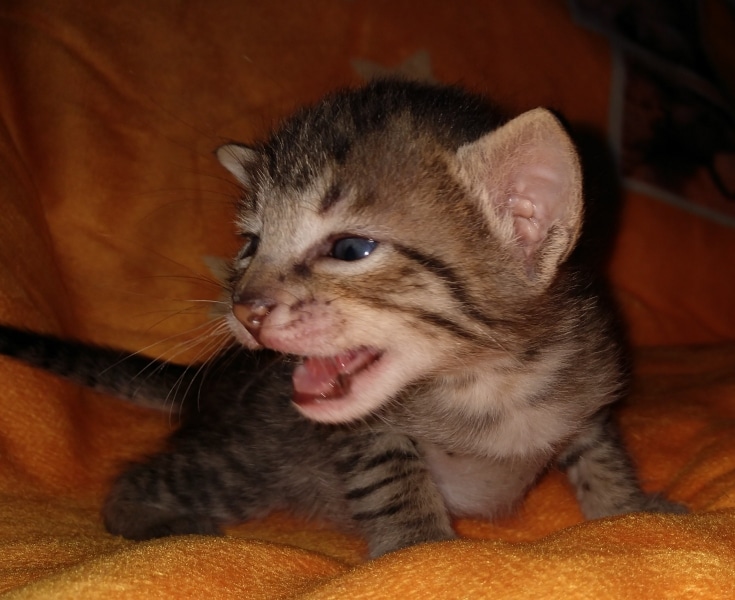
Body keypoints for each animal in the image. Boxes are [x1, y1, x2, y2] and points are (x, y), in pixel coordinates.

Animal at [0, 79, 685, 558]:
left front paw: (629, 507)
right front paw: (419, 550)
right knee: (138, 483)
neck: (490, 383)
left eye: (350, 249)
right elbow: (390, 474)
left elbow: (598, 452)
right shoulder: (359, 433)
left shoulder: (586, 382)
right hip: (243, 461)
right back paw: (161, 523)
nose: (243, 307)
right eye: (251, 244)